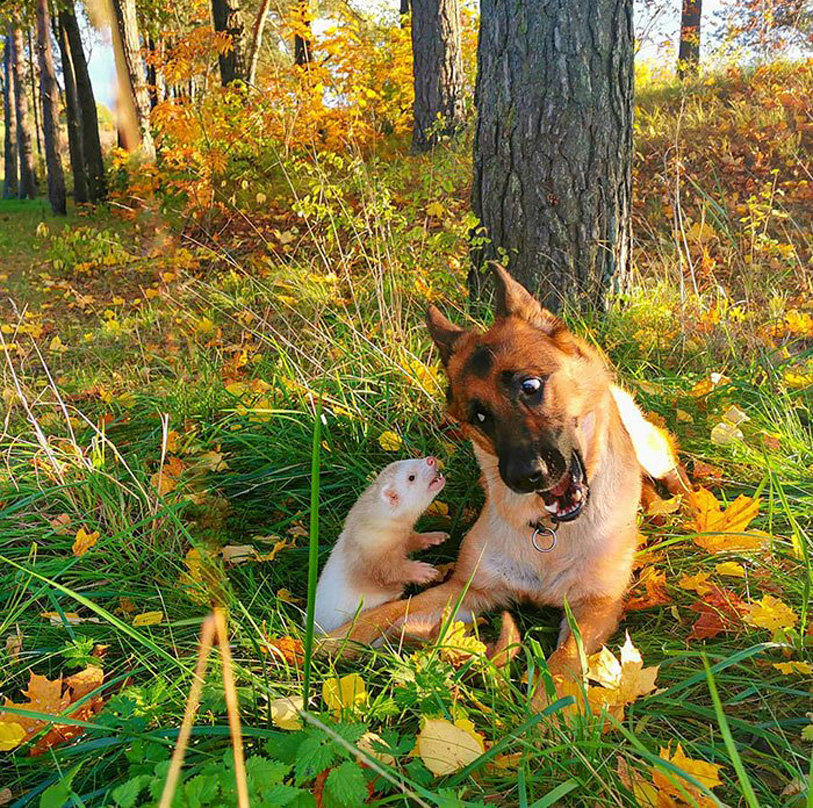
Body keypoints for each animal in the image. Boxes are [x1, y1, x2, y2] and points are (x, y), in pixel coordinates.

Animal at [328, 266, 680, 708]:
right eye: (479, 417)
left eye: (530, 386)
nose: (525, 476)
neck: (549, 534)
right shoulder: (467, 589)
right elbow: (388, 613)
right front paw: (327, 640)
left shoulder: (594, 608)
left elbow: (565, 661)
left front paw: (549, 713)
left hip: (651, 450)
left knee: (674, 470)